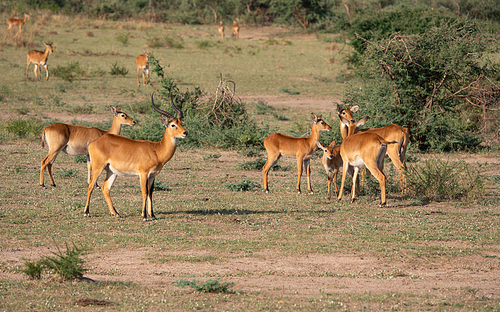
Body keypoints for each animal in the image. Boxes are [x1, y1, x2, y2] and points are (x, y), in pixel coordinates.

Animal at [84, 91, 188, 221]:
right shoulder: (143, 174)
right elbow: (144, 192)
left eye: (182, 123)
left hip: (112, 171)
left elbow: (150, 193)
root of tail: (94, 142)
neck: (157, 150)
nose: (185, 133)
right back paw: (87, 212)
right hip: (98, 167)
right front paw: (144, 216)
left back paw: (116, 213)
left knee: (105, 187)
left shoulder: (153, 175)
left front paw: (152, 215)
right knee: (91, 185)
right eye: (173, 125)